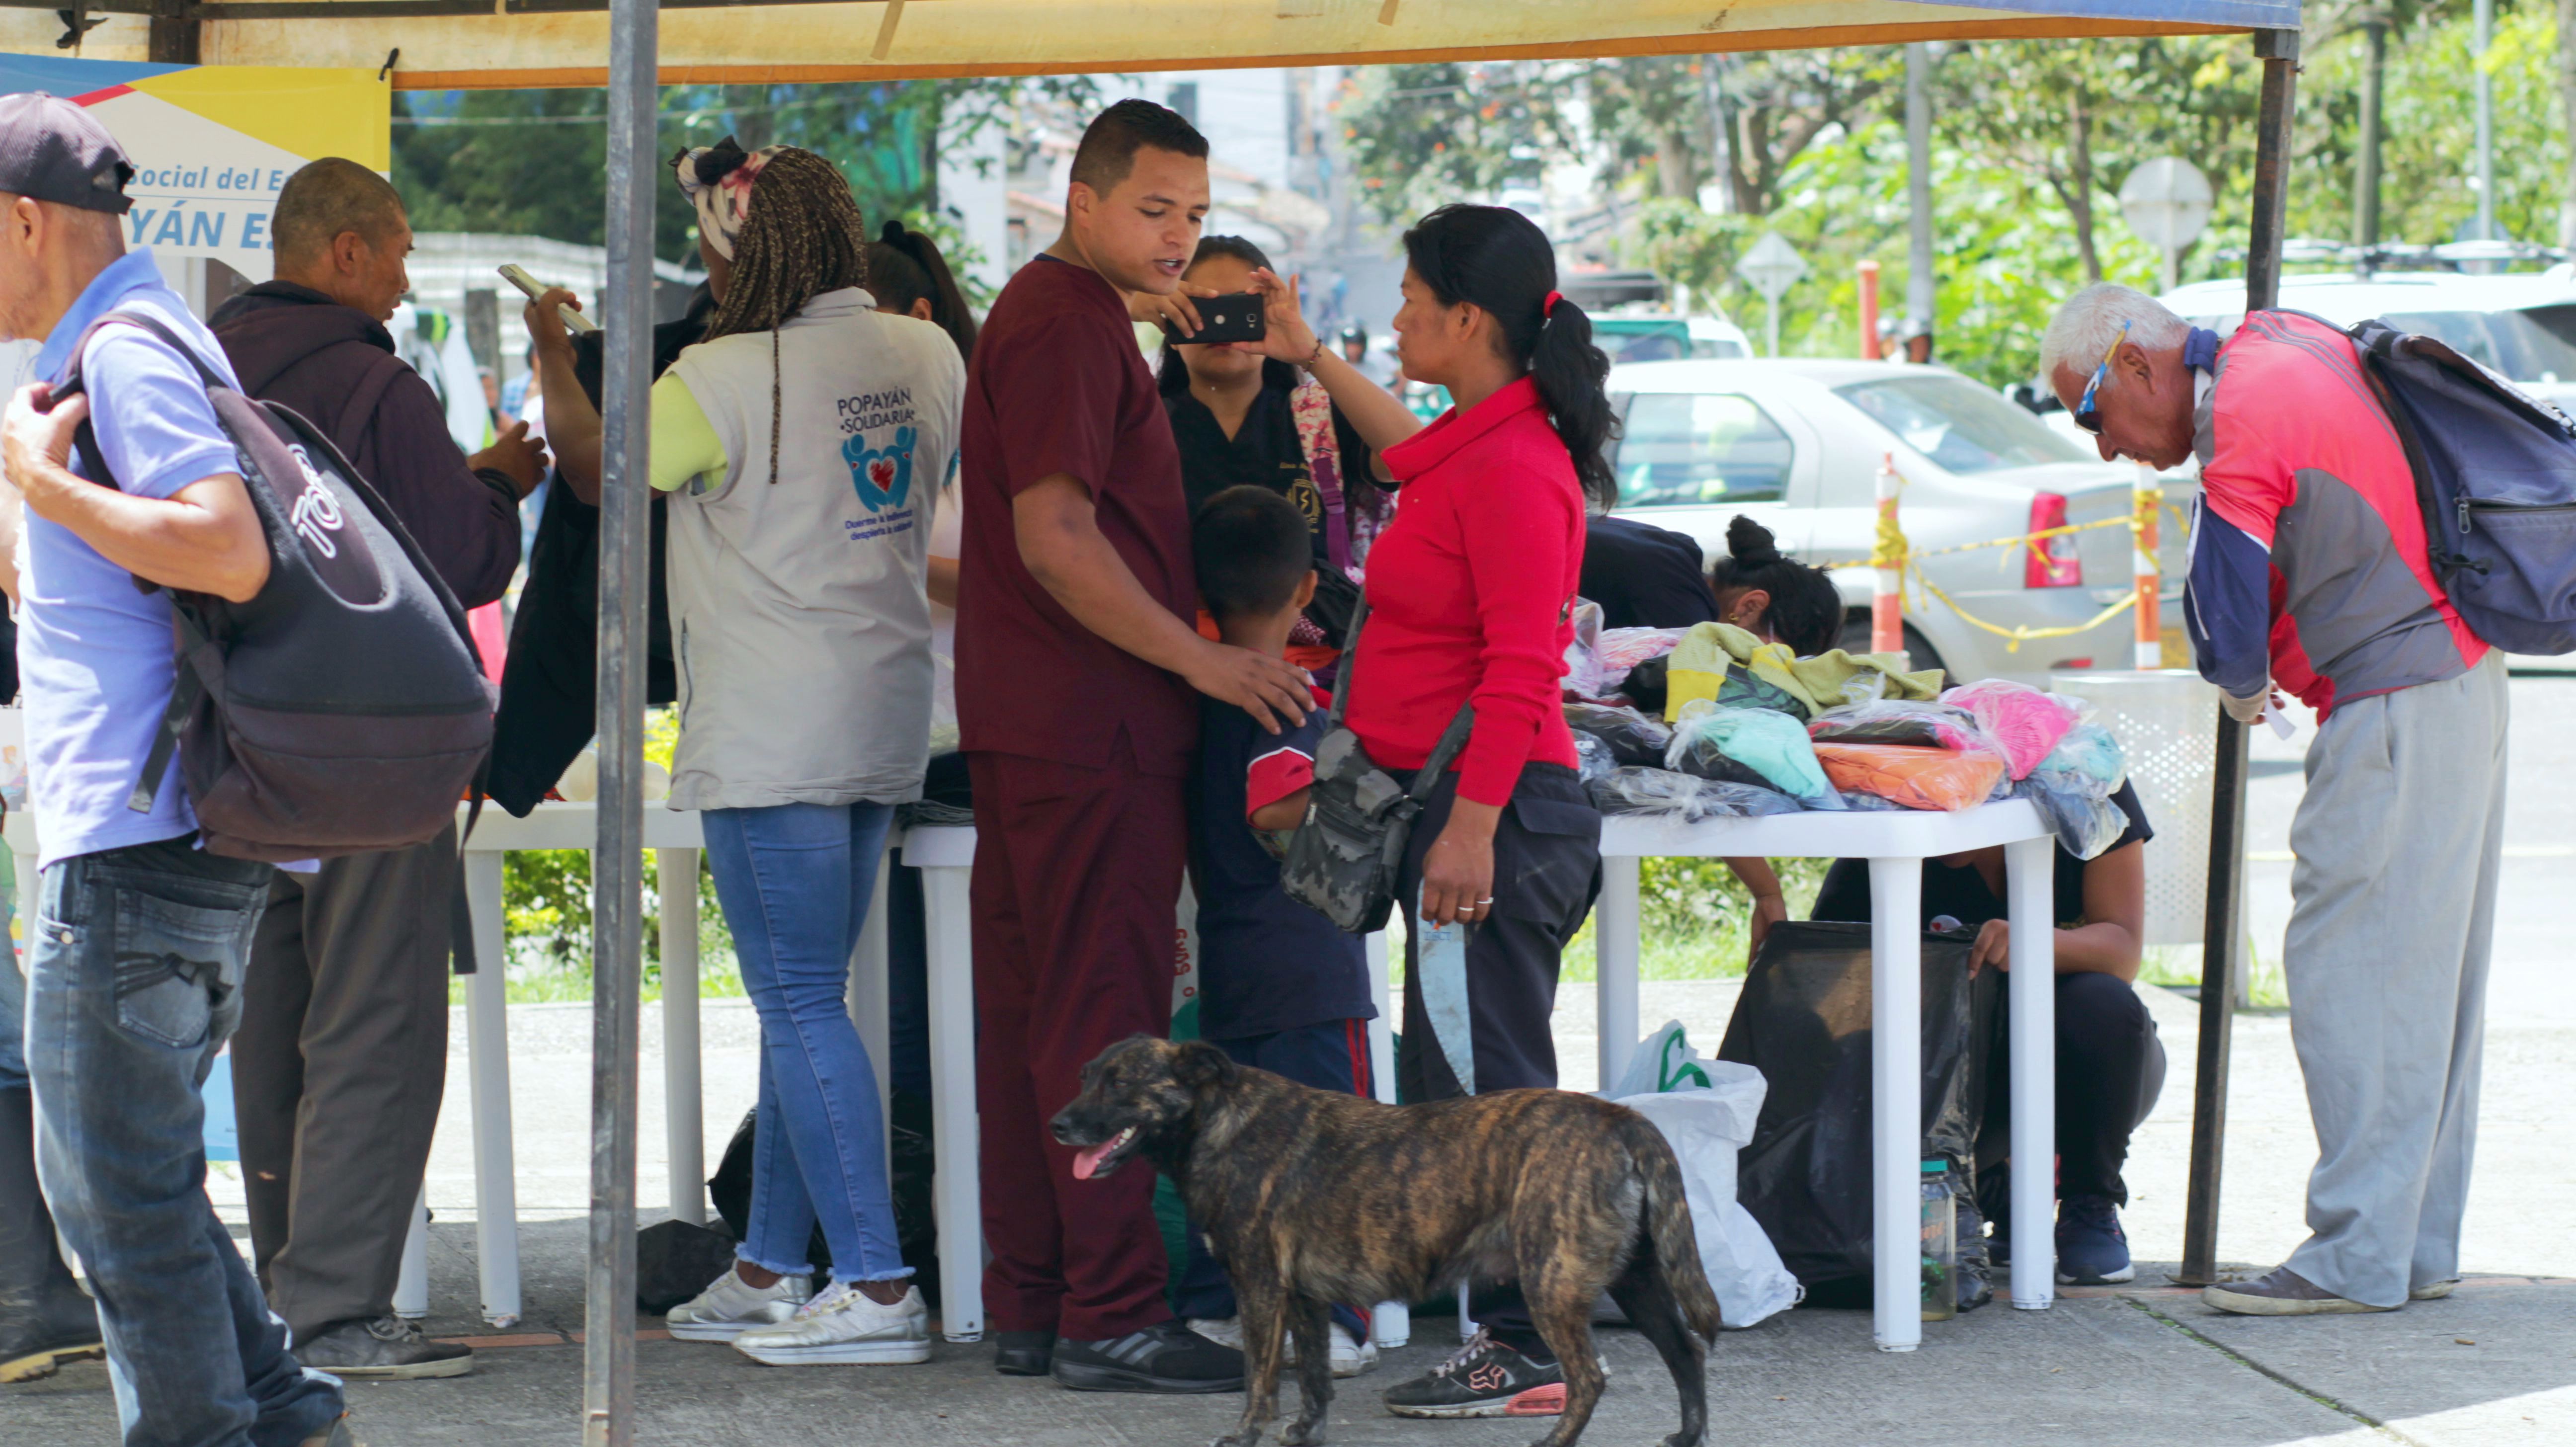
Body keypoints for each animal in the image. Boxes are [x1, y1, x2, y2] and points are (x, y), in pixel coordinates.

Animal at [1046, 1035, 1710, 1442]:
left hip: (1551, 1283)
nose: (1057, 1123)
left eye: (1119, 1083)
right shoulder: (1304, 1298)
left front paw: (1243, 1434)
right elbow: (1313, 1379)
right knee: (1686, 1354)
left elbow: (1261, 1378)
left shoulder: (1259, 1287)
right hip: (1637, 1283)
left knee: (1589, 1378)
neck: (1218, 1119)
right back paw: (1689, 1434)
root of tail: (1618, 1116)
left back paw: (1555, 1439)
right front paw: (1306, 1432)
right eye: (1084, 1077)